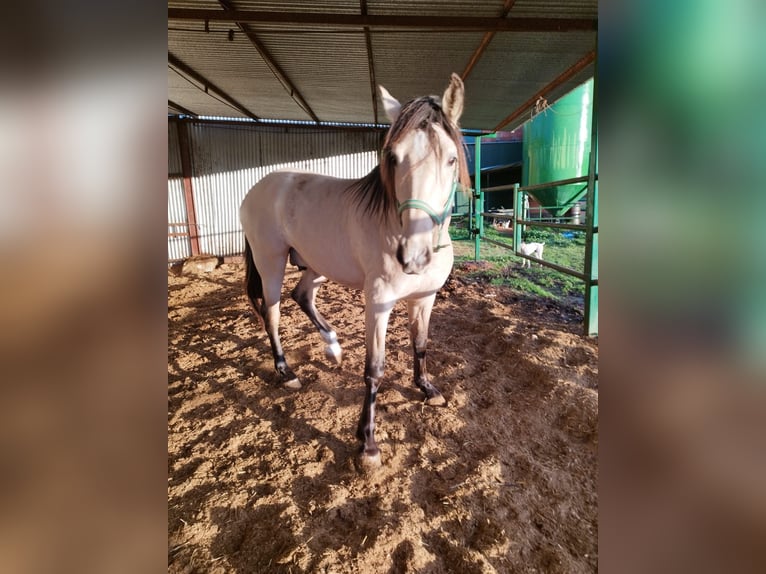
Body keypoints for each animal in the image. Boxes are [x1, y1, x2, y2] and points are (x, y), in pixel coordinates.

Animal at [240, 74, 472, 468]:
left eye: (451, 159)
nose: (413, 258)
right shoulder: (378, 304)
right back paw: (286, 373)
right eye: (393, 157)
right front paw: (368, 444)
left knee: (301, 295)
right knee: (272, 314)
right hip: (270, 262)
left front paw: (428, 389)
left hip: (317, 264)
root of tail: (257, 188)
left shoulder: (424, 298)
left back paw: (333, 348)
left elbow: (421, 344)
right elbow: (374, 369)